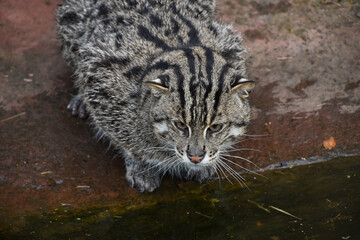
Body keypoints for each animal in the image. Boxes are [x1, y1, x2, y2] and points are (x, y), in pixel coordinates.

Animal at [57, 0, 253, 191]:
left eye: (215, 127)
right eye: (180, 125)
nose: (195, 158)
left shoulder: (230, 43)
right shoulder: (100, 73)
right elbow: (123, 139)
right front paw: (140, 165)